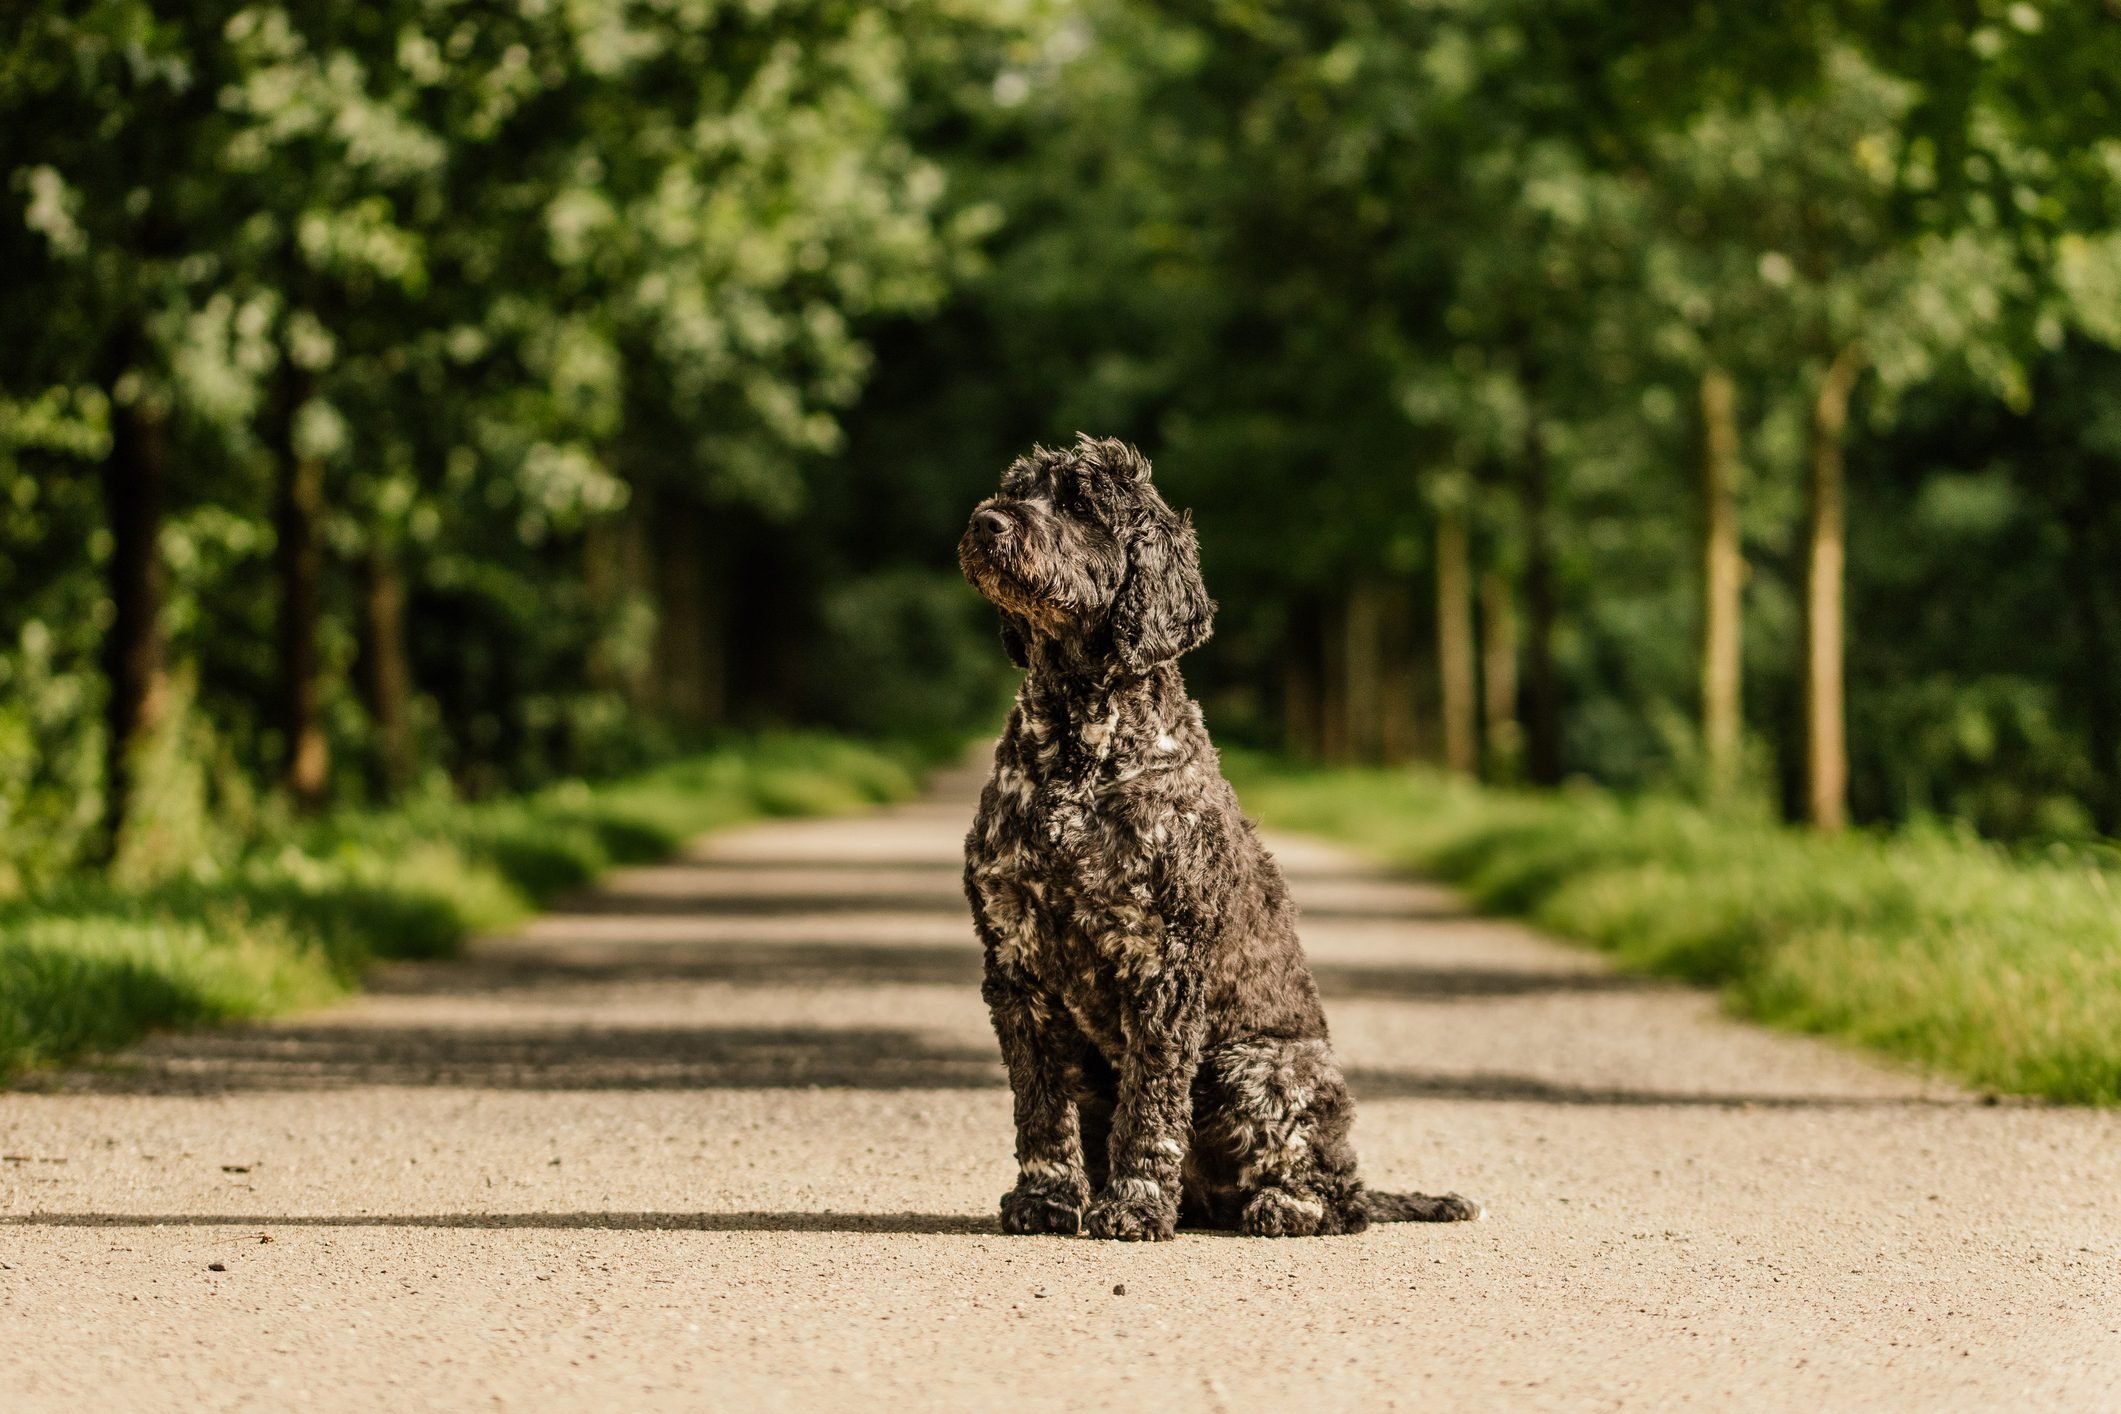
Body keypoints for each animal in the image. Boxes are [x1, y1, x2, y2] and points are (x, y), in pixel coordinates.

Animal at [958, 434, 1476, 1238]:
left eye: (1078, 503)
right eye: (1014, 489)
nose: (988, 522)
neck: (1078, 750)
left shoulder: (1164, 964)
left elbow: (1151, 1106)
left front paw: (1134, 1204)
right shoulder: (1016, 966)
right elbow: (1039, 1107)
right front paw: (1046, 1199)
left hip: (1259, 1065)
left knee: (1333, 1197)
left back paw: (1280, 1207)